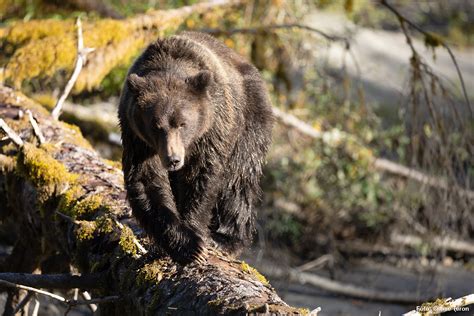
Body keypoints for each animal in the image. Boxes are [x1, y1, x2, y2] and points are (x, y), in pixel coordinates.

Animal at [118, 32, 272, 264]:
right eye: (156, 126)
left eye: (182, 123)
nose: (173, 159)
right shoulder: (137, 137)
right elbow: (147, 181)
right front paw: (186, 245)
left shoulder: (213, 128)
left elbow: (201, 177)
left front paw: (197, 237)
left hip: (249, 121)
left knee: (238, 181)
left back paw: (226, 238)